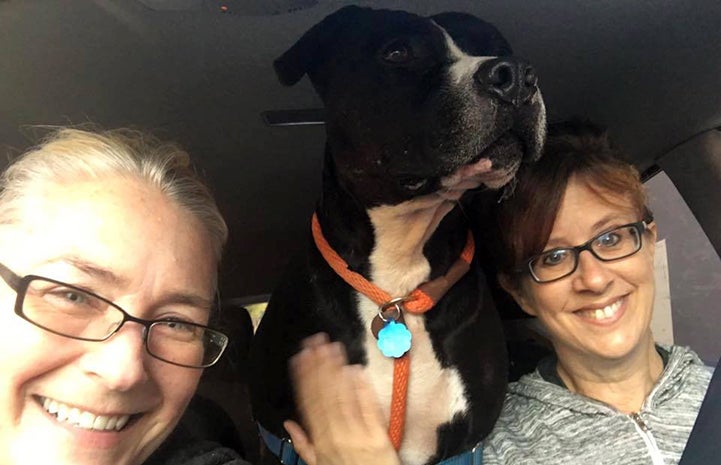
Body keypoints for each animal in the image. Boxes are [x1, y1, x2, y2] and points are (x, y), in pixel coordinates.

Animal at [250, 6, 544, 464]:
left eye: (498, 47)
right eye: (398, 52)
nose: (516, 74)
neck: (397, 281)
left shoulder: (462, 445)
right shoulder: (282, 441)